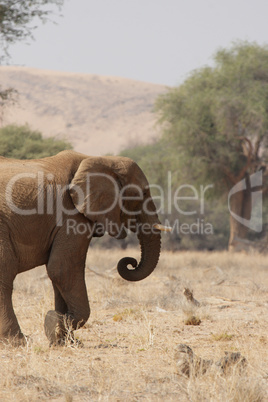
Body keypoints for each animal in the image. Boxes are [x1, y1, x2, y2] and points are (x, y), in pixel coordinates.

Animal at [0, 151, 164, 346]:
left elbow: (59, 275)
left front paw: (65, 339)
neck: (99, 159)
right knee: (5, 272)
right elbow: (62, 269)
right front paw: (53, 324)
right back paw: (18, 342)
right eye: (143, 193)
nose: (130, 261)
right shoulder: (71, 215)